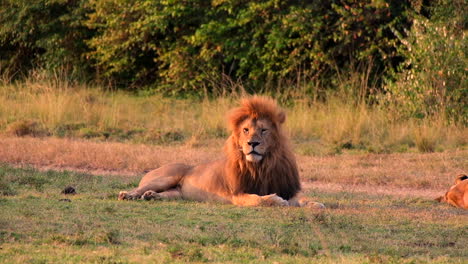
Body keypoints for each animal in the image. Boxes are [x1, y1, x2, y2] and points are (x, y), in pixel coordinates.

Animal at [118, 96, 322, 208]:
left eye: (264, 130)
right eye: (246, 130)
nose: (252, 143)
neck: (261, 166)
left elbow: (301, 199)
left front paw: (315, 204)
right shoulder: (237, 195)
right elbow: (259, 199)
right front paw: (277, 201)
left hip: (177, 193)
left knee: (163, 194)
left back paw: (151, 196)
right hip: (166, 177)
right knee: (138, 188)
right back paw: (127, 195)